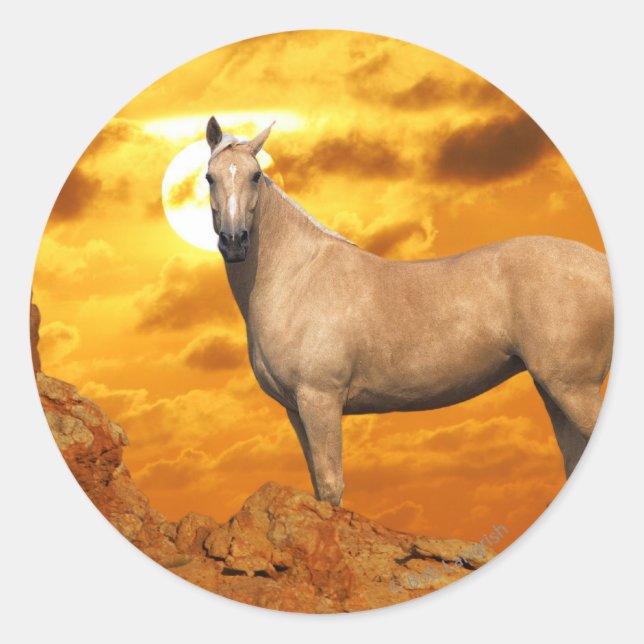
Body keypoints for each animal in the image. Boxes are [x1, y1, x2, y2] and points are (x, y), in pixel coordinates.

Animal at [204, 116, 613, 506]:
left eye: (255, 175)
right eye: (210, 177)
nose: (235, 242)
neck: (296, 275)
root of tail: (598, 264)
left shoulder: (320, 399)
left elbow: (332, 486)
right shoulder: (296, 409)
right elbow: (320, 487)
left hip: (573, 388)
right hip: (552, 389)